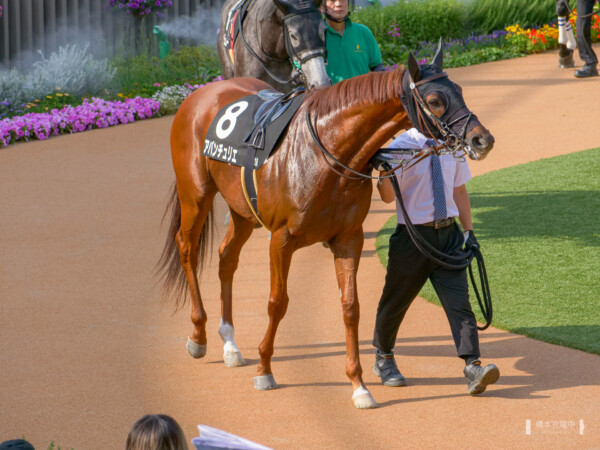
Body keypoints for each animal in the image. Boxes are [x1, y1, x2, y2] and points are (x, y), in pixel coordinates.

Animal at [157, 51, 494, 408]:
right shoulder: (281, 238)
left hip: (242, 210)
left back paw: (230, 343)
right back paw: (198, 335)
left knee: (226, 257)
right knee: (188, 249)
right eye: (434, 100)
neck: (324, 153)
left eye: (459, 89)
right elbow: (277, 302)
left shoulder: (348, 238)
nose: (482, 139)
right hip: (195, 195)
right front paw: (265, 369)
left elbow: (351, 307)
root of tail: (200, 93)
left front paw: (359, 385)